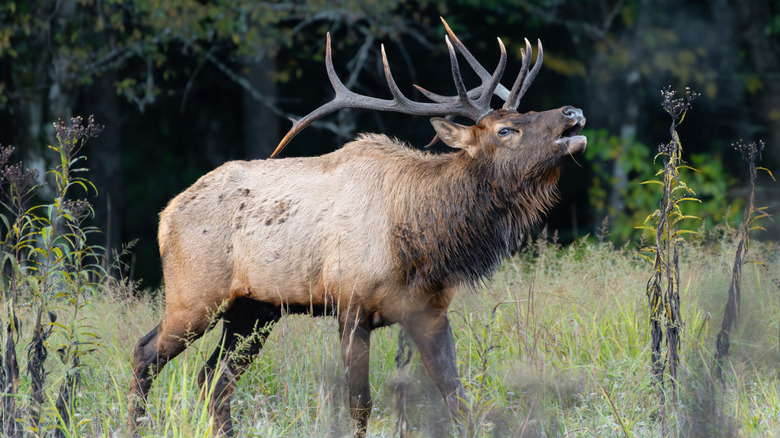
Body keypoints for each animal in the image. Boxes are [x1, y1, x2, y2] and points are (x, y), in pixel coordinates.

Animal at [127, 18, 586, 437]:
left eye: (527, 111)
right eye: (505, 129)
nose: (573, 111)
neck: (423, 245)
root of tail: (166, 215)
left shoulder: (430, 312)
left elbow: (457, 399)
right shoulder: (350, 304)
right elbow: (360, 405)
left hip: (254, 310)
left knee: (213, 379)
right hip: (194, 295)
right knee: (146, 353)